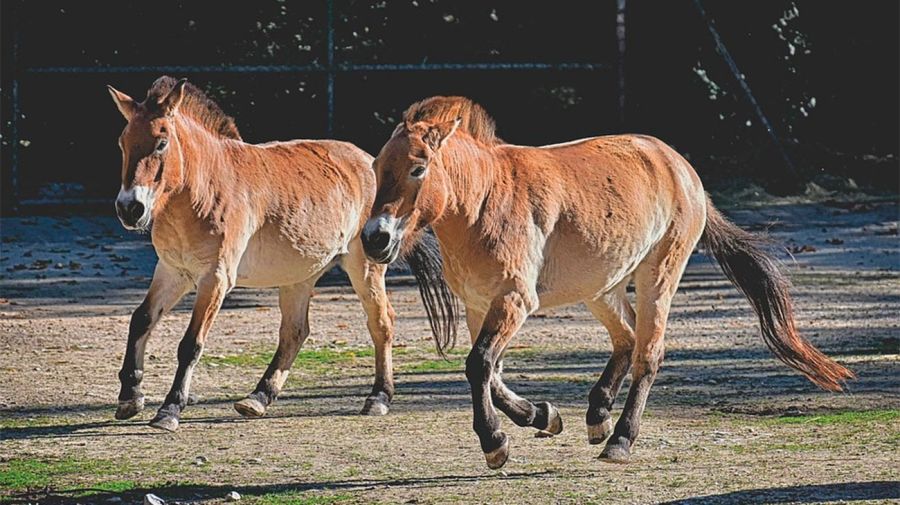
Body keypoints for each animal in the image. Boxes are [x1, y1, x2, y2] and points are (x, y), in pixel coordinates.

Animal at [105, 76, 446, 431]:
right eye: (123, 142)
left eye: (161, 143)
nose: (130, 208)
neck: (203, 188)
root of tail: (370, 163)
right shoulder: (173, 271)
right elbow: (141, 320)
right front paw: (130, 397)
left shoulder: (215, 278)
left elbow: (191, 343)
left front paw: (169, 410)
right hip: (299, 275)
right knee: (295, 331)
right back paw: (258, 398)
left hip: (364, 266)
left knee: (381, 322)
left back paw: (378, 397)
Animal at [360, 96, 854, 469]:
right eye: (378, 166)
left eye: (419, 167)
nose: (374, 238)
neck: (484, 201)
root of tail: (682, 169)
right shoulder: (480, 305)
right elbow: (490, 372)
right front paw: (543, 416)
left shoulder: (514, 301)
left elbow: (479, 365)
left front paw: (495, 443)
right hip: (602, 287)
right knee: (627, 338)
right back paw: (597, 415)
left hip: (657, 276)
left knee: (648, 353)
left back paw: (620, 439)